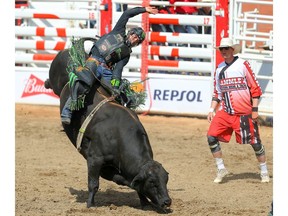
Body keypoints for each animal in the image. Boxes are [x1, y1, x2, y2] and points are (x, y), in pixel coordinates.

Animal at [44, 39, 171, 213]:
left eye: (166, 179)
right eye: (152, 182)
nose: (167, 201)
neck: (117, 136)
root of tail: (80, 60)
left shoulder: (113, 169)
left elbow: (131, 183)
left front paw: (145, 202)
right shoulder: (94, 159)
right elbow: (93, 184)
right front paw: (90, 205)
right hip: (59, 78)